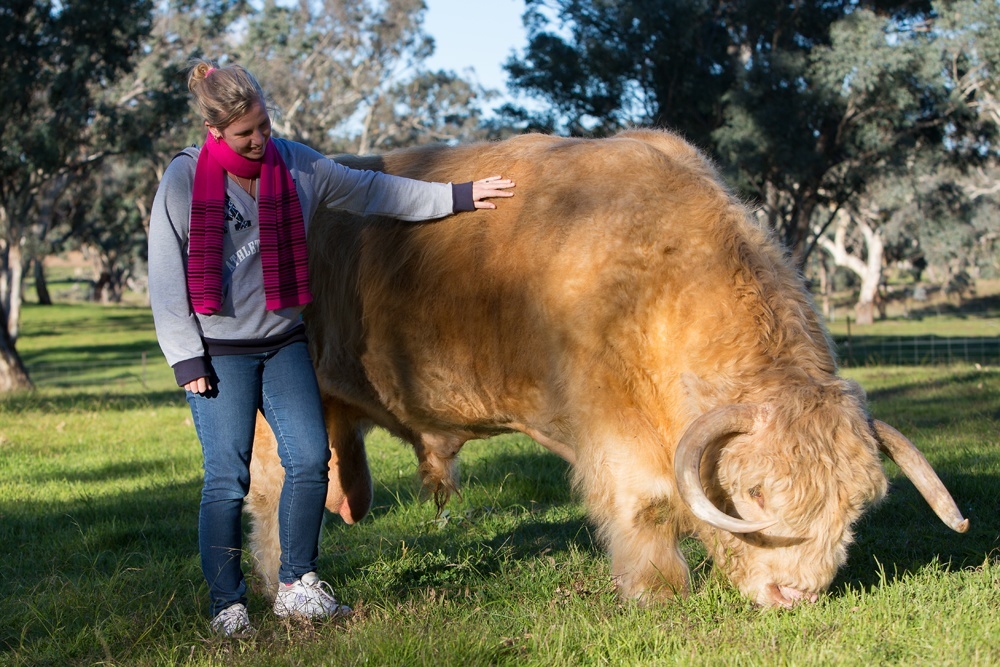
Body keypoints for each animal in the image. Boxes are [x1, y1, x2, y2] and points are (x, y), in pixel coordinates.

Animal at [242, 128, 968, 608]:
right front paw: (657, 591)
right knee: (275, 491)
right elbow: (647, 502)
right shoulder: (611, 419)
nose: (797, 595)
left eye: (855, 507)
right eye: (758, 493)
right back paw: (283, 593)